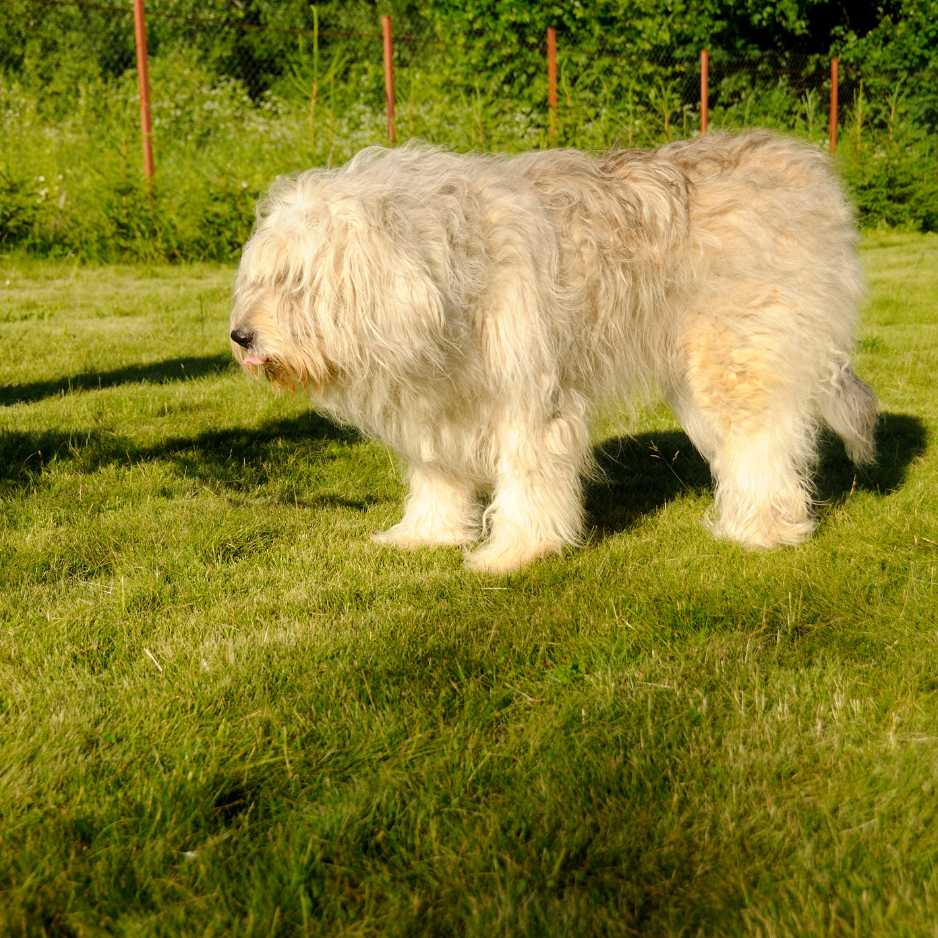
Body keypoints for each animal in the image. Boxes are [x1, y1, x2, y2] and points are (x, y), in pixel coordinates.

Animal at [230, 130, 872, 572]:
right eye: (259, 278)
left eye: (297, 282)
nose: (240, 337)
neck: (446, 275)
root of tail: (804, 171)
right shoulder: (440, 401)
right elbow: (437, 475)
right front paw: (426, 533)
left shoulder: (529, 396)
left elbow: (529, 478)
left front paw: (514, 553)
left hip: (735, 357)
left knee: (762, 444)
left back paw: (761, 528)